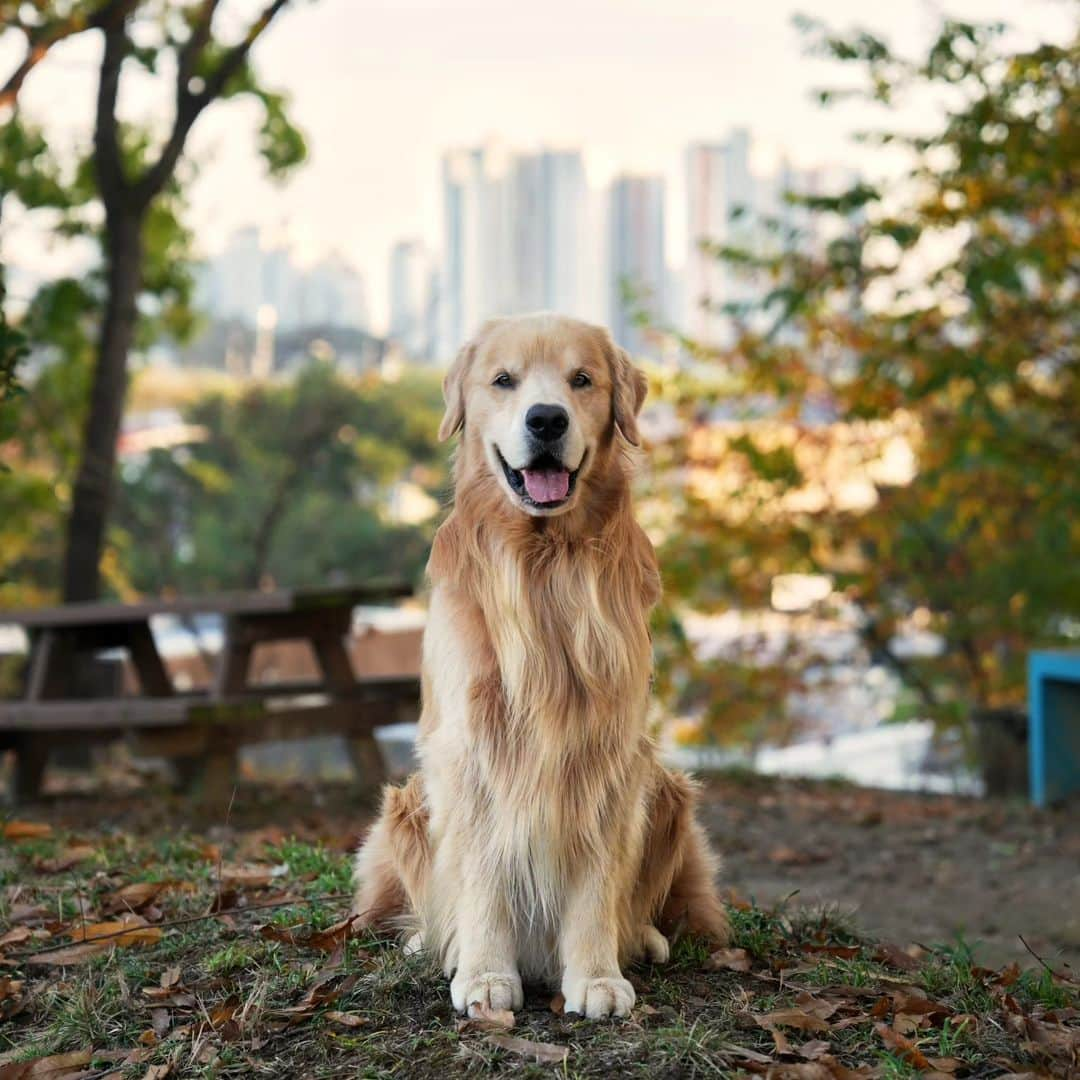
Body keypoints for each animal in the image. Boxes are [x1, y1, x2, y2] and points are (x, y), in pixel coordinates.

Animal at [352, 315, 725, 1019]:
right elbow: (483, 874)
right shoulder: (472, 750)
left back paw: (642, 937)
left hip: (668, 789)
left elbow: (596, 882)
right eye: (504, 380)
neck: (546, 562)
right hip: (406, 803)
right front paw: (485, 973)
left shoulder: (607, 751)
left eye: (582, 379)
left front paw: (597, 976)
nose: (547, 418)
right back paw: (433, 944)